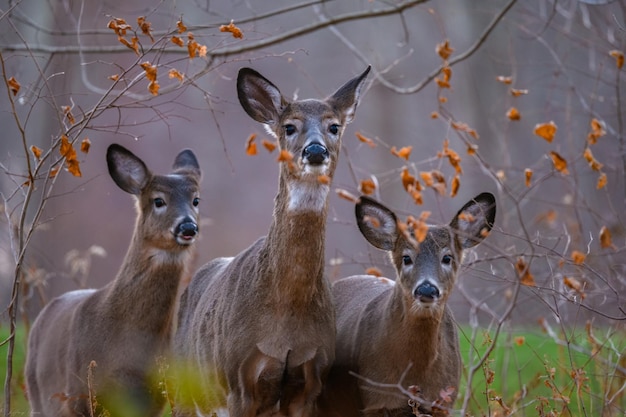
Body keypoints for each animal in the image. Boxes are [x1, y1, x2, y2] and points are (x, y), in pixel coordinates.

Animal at [23, 143, 200, 416]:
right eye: (159, 200)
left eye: (196, 200)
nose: (188, 227)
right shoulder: (79, 393)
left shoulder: (155, 396)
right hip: (37, 394)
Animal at [171, 65, 368, 416]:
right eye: (289, 126)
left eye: (334, 126)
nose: (315, 150)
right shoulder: (238, 380)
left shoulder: (311, 382)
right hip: (186, 388)